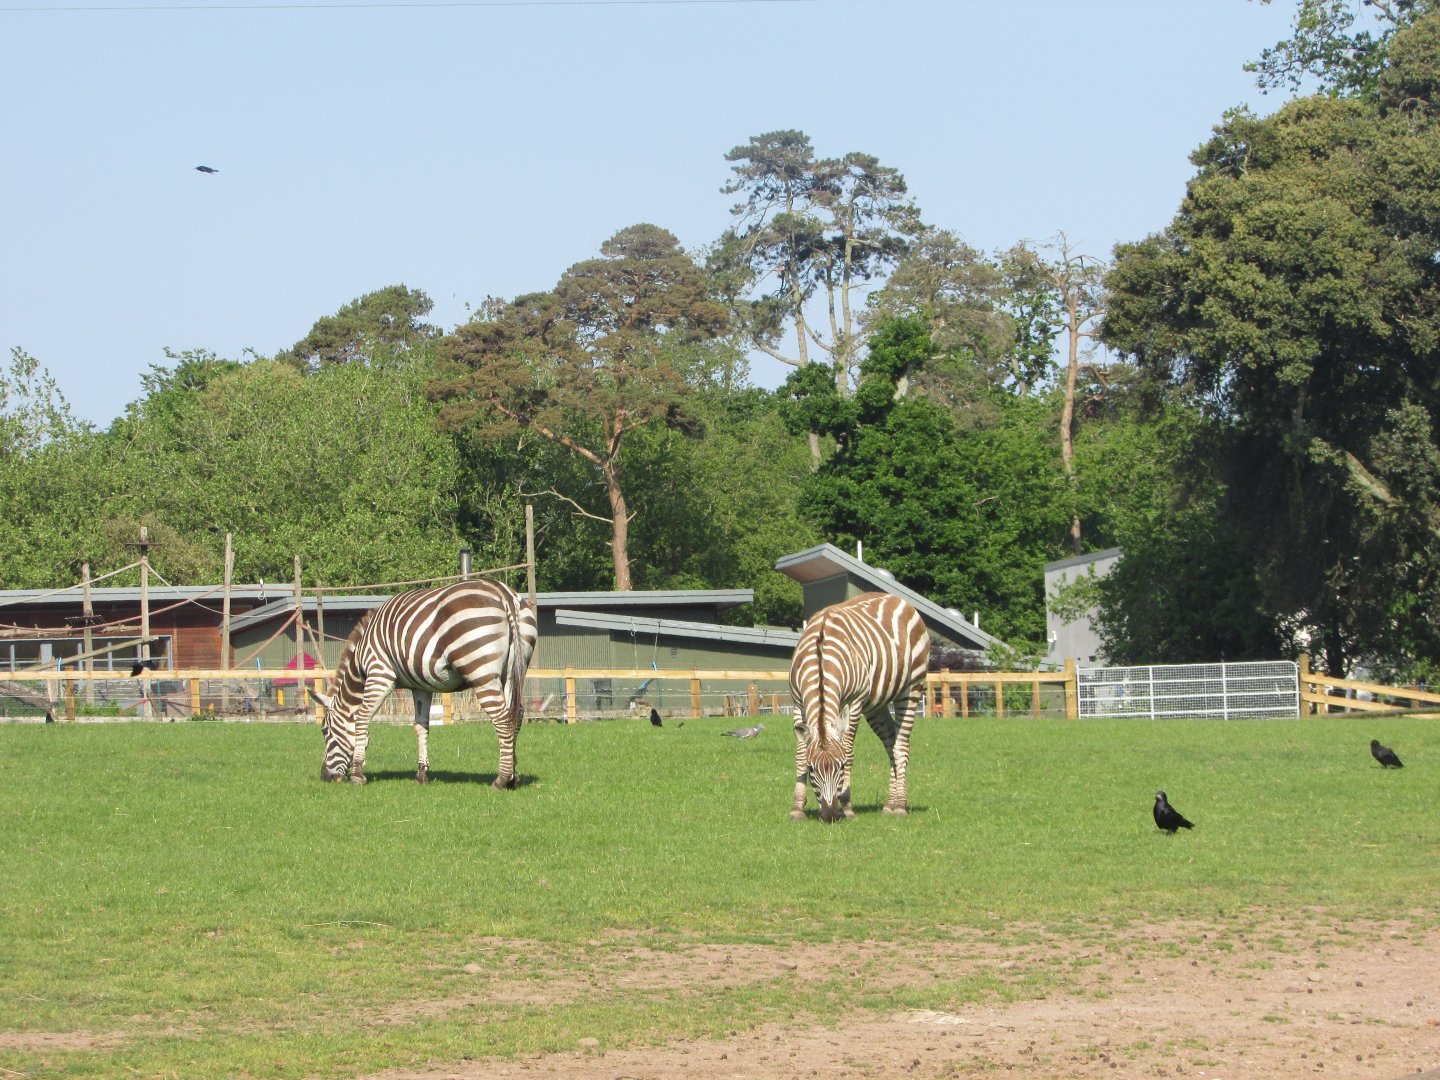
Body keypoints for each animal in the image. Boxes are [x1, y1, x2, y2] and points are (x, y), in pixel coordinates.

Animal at [315, 579, 538, 788]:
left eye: (325, 731)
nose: (325, 777)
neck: (361, 660)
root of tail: (503, 593)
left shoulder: (379, 674)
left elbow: (362, 719)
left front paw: (358, 773)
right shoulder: (421, 686)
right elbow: (421, 726)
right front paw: (422, 773)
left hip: (481, 672)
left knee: (502, 718)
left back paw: (501, 779)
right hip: (511, 672)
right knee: (516, 715)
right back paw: (513, 777)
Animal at [788, 591, 928, 823]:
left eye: (842, 766)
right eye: (811, 769)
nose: (830, 815)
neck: (821, 661)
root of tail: (896, 598)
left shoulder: (854, 703)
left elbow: (849, 750)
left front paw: (847, 807)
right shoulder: (797, 703)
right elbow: (799, 754)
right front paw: (797, 808)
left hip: (912, 688)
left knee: (901, 746)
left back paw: (900, 805)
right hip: (875, 705)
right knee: (891, 742)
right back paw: (889, 805)